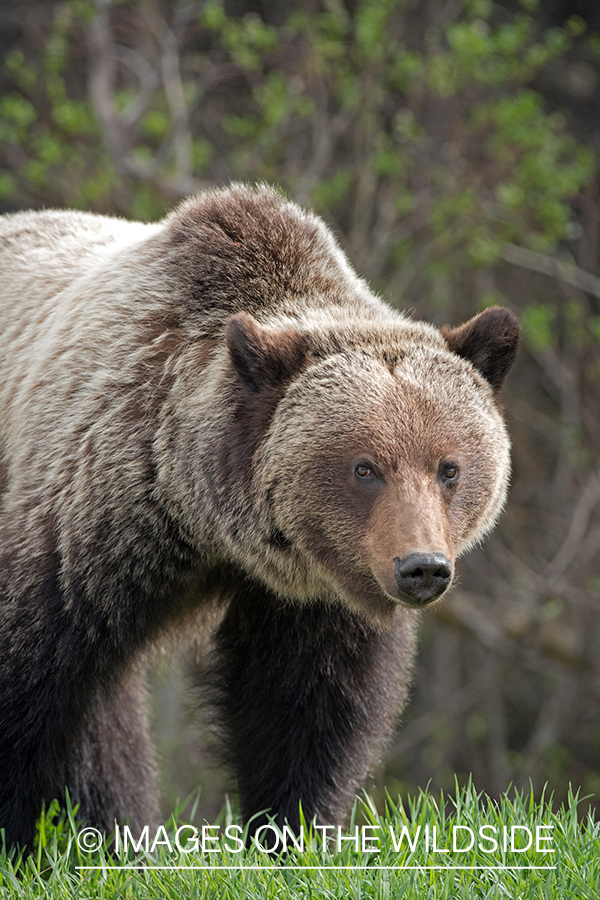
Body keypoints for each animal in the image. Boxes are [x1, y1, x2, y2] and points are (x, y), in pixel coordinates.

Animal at [0, 183, 516, 852]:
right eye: (365, 468)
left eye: (448, 467)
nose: (422, 568)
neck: (199, 521)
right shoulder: (76, 531)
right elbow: (26, 683)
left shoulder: (314, 594)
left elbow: (305, 709)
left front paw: (292, 832)